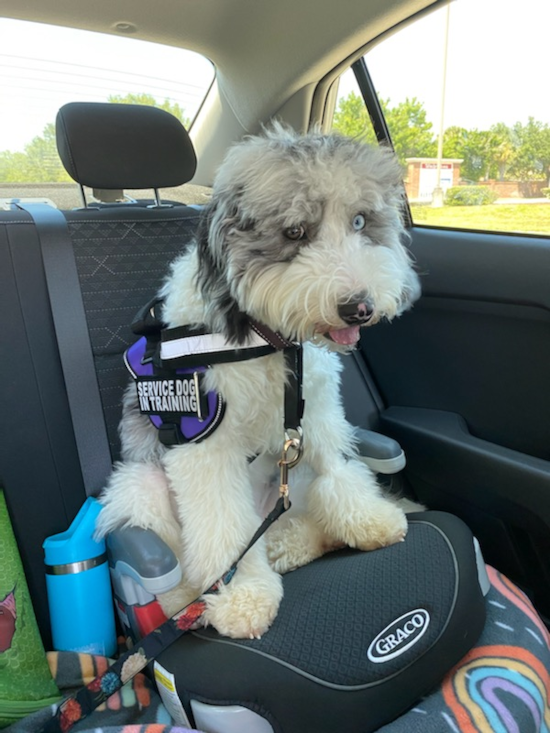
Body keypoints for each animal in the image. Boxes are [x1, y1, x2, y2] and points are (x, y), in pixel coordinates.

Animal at [97, 126, 422, 640]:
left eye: (359, 221)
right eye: (295, 232)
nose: (359, 307)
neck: (267, 337)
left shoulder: (318, 412)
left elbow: (337, 469)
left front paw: (369, 519)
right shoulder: (203, 445)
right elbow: (223, 527)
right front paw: (242, 597)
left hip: (285, 479)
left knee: (288, 524)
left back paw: (291, 542)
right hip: (139, 484)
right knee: (184, 563)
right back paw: (188, 600)